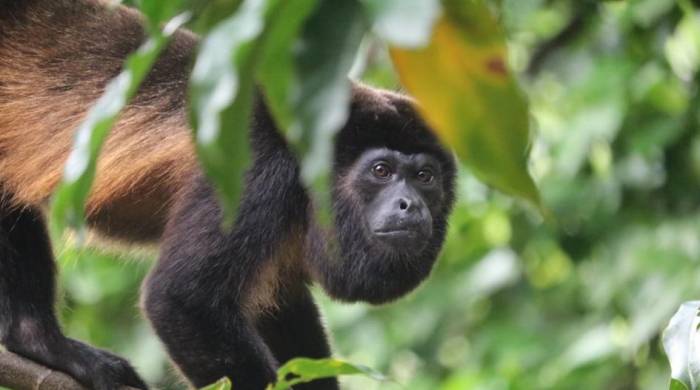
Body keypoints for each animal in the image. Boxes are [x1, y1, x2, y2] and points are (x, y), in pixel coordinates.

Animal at [0, 0, 454, 390]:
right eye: (381, 170)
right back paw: (46, 345)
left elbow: (281, 308)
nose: (410, 205)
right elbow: (181, 297)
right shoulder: (260, 167)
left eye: (425, 177)